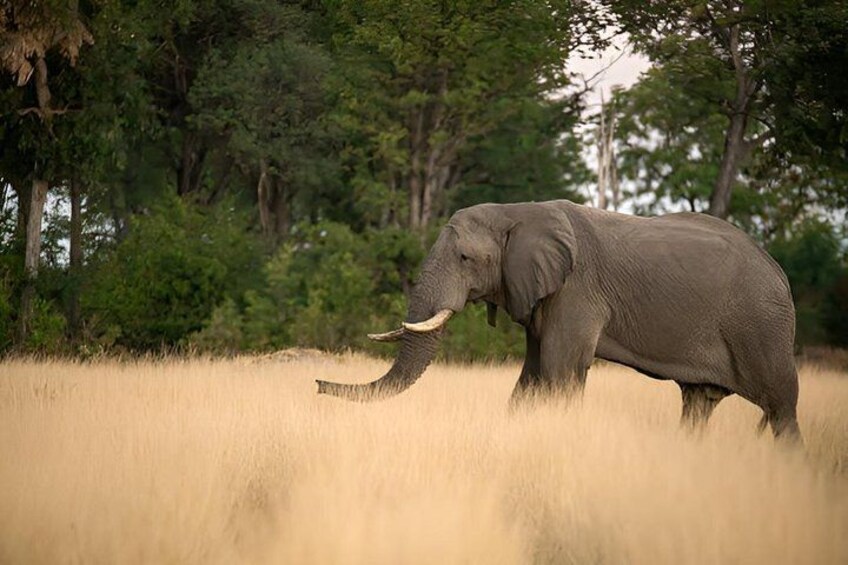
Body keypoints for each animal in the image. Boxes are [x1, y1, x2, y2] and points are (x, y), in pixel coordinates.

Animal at [316, 200, 801, 441]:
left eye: (465, 258)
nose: (318, 385)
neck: (516, 211)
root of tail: (780, 271)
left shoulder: (577, 289)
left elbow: (560, 366)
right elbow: (532, 373)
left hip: (762, 324)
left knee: (781, 405)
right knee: (699, 402)